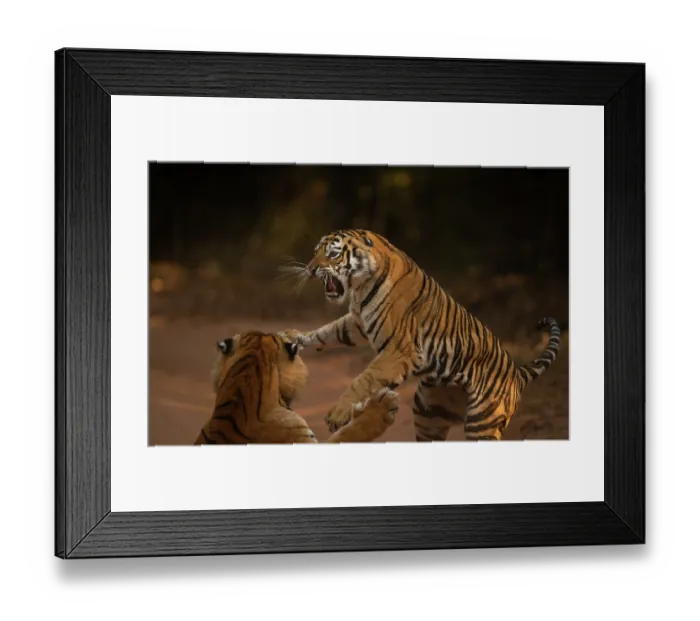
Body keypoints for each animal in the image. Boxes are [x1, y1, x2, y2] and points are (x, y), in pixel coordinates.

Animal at [279, 229, 561, 442]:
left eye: (333, 254)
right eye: (315, 252)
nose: (310, 269)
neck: (359, 288)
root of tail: (517, 373)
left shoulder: (398, 350)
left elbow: (364, 378)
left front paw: (338, 414)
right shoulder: (358, 322)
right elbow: (330, 330)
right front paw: (295, 336)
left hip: (482, 422)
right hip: (428, 413)